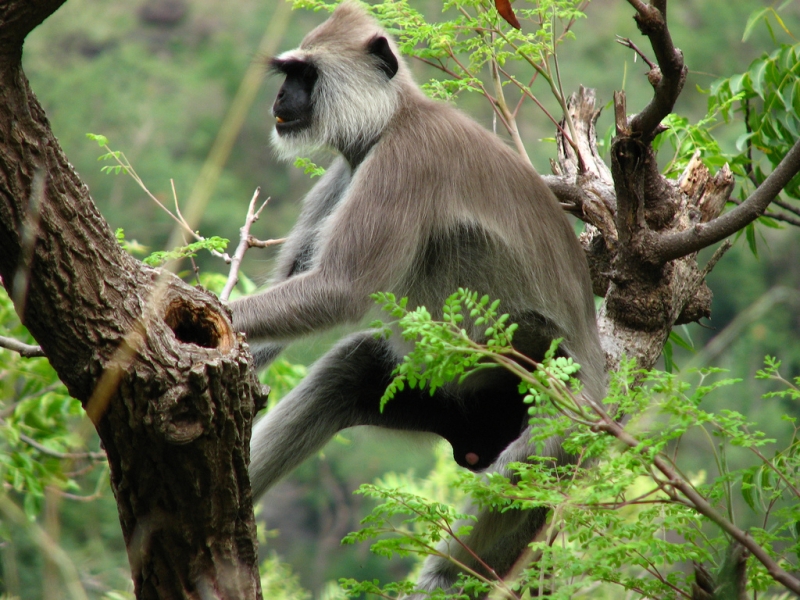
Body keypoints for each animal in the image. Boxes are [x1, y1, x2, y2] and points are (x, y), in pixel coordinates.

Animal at [231, 2, 608, 596]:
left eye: (305, 76)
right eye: (288, 75)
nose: (280, 100)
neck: (392, 119)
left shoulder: (403, 161)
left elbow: (339, 290)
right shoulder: (348, 170)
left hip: (561, 402)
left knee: (529, 460)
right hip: (447, 396)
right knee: (349, 372)